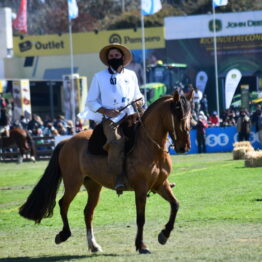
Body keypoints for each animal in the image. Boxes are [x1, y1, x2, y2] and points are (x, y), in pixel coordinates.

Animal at [18, 90, 192, 254]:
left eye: (190, 115)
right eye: (178, 115)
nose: (184, 146)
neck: (150, 147)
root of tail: (67, 141)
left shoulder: (161, 184)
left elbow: (175, 205)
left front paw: (164, 235)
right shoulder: (141, 189)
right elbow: (141, 218)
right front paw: (141, 245)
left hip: (94, 186)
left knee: (88, 213)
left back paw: (93, 245)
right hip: (73, 183)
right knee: (63, 204)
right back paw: (63, 235)